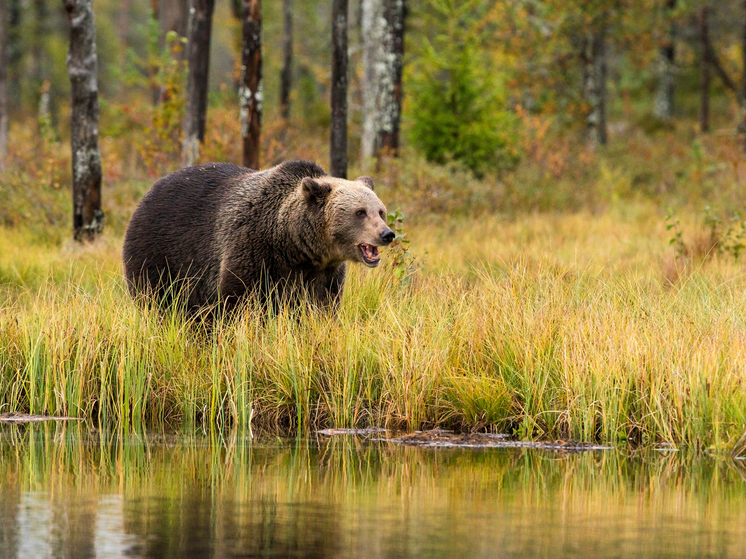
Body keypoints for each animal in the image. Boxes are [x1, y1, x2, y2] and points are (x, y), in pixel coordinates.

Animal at [120, 160, 396, 312]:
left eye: (380, 211)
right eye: (360, 212)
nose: (387, 233)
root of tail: (148, 193)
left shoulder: (324, 273)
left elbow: (322, 306)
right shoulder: (252, 249)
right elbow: (237, 300)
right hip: (160, 253)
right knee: (158, 300)